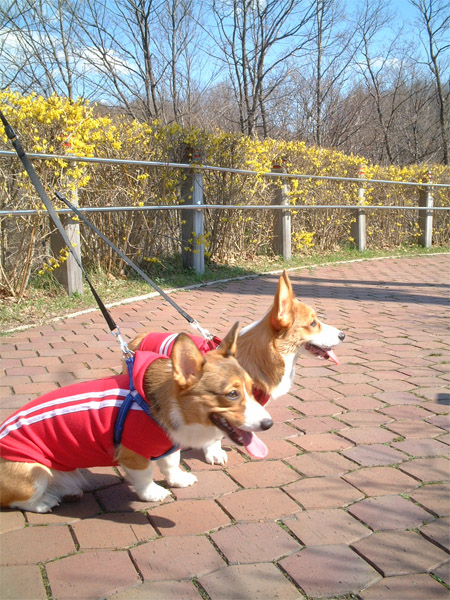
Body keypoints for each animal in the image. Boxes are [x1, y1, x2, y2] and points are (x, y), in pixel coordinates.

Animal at [0, 323, 273, 513]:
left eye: (252, 389)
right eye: (232, 394)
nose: (269, 424)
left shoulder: (166, 446)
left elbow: (171, 463)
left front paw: (179, 480)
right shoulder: (133, 454)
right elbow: (145, 476)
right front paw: (153, 493)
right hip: (33, 471)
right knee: (17, 500)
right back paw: (44, 502)